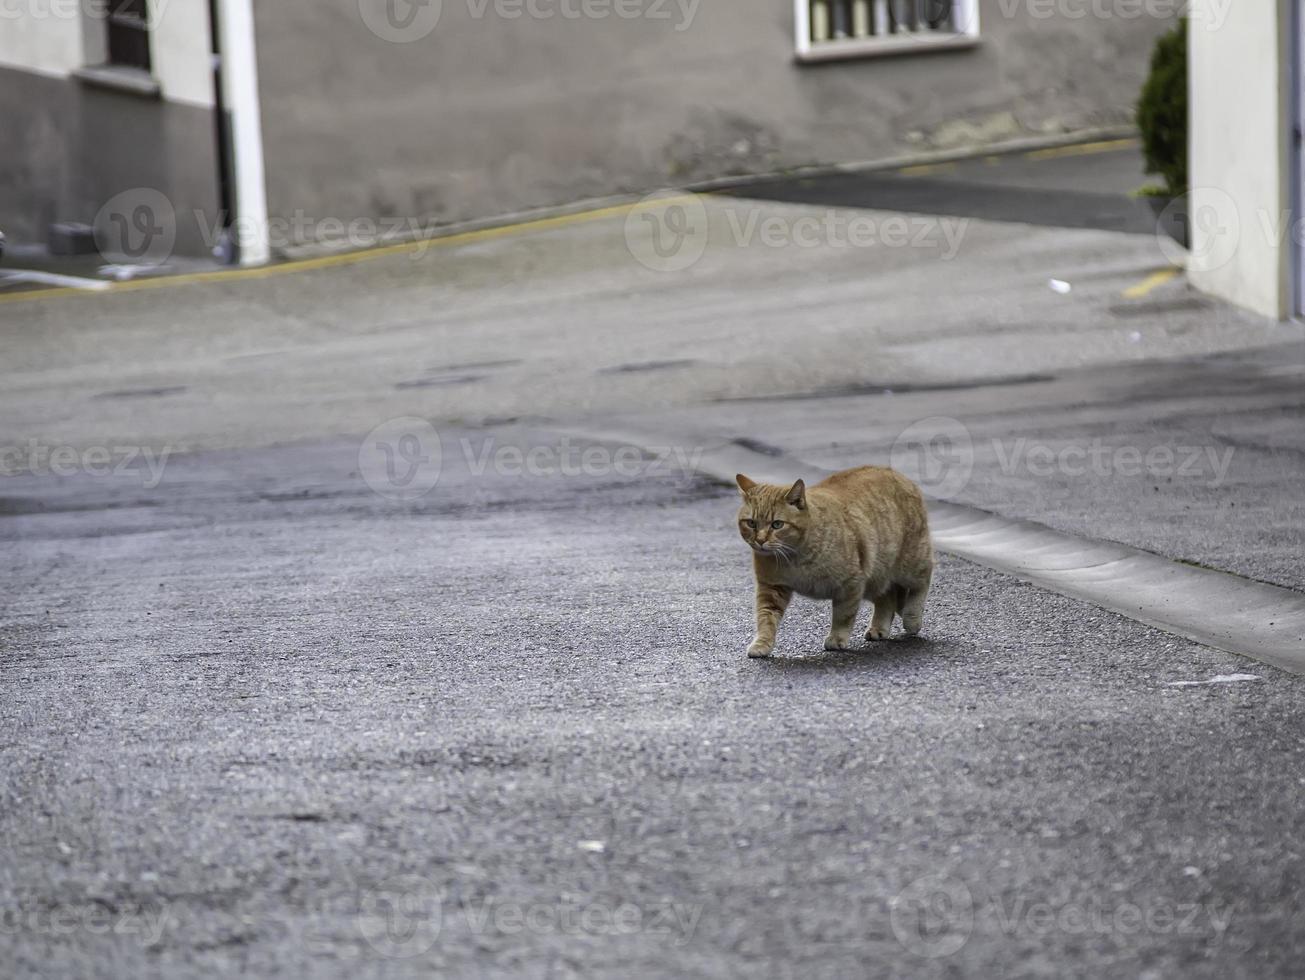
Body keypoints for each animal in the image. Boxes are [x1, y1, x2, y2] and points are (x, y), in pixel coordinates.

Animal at [736, 469, 939, 660]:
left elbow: (843, 615)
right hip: (877, 578)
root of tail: (896, 473)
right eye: (751, 523)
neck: (794, 558)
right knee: (887, 598)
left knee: (923, 579)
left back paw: (912, 617)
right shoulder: (771, 588)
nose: (760, 540)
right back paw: (879, 628)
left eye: (777, 524)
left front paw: (837, 638)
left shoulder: (850, 584)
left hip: (909, 565)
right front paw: (762, 643)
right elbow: (765, 619)